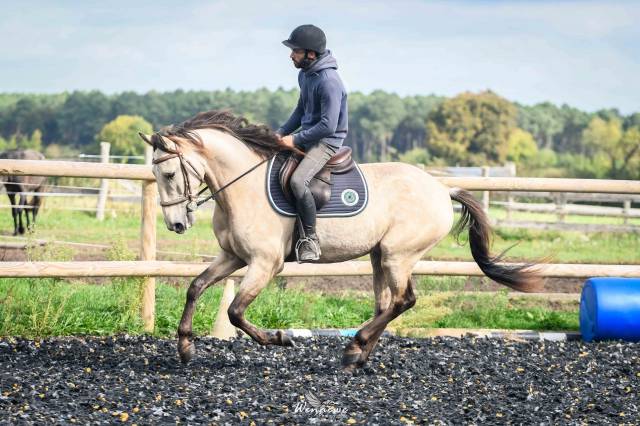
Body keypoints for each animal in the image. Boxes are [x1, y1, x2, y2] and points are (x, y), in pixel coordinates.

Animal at [139, 110, 540, 372]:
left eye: (170, 173)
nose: (177, 224)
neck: (242, 186)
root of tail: (443, 190)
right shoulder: (233, 257)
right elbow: (196, 286)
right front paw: (185, 346)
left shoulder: (265, 263)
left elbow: (235, 311)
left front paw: (279, 338)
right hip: (380, 256)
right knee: (386, 304)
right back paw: (357, 356)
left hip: (398, 254)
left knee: (403, 300)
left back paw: (353, 348)